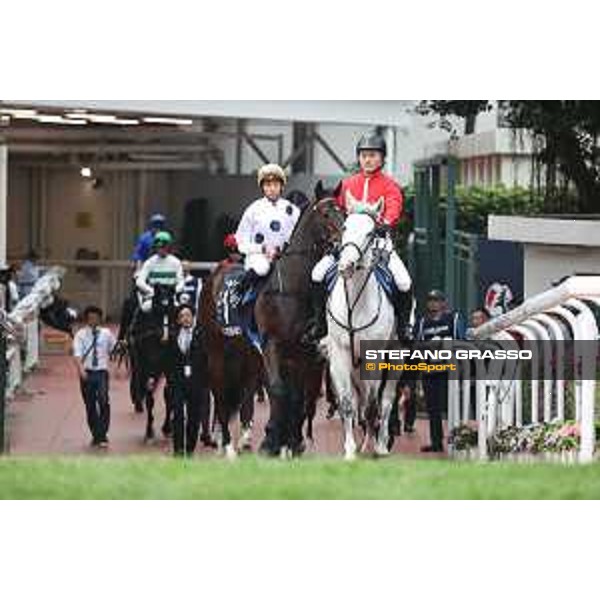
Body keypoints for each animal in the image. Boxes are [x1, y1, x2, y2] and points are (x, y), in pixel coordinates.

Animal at [324, 200, 398, 460]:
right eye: (345, 226)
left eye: (370, 232)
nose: (345, 266)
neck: (354, 305)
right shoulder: (340, 353)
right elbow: (348, 403)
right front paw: (350, 450)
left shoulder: (373, 356)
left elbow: (373, 405)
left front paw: (373, 447)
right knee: (362, 400)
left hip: (396, 362)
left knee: (385, 401)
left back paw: (382, 444)